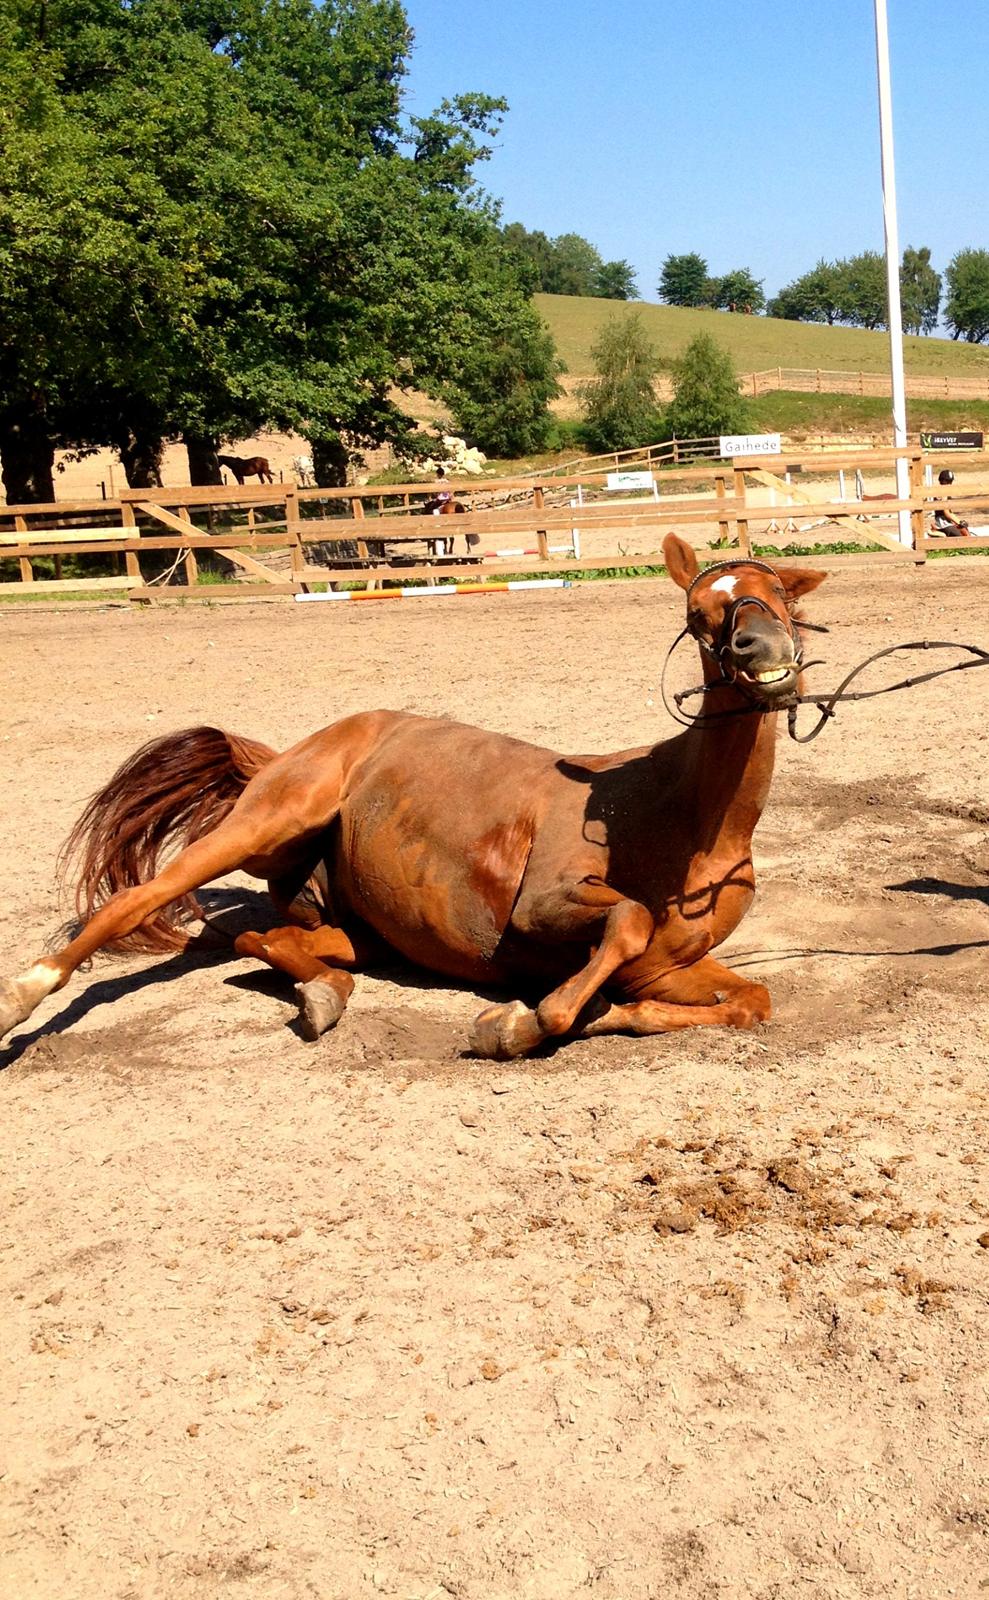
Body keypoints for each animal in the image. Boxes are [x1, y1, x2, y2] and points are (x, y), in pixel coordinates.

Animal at [1, 537, 825, 1062]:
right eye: (697, 611)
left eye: (779, 596)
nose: (762, 651)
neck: (686, 820)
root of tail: (293, 749)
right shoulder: (546, 906)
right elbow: (622, 924)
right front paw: (523, 1025)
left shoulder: (665, 969)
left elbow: (750, 1000)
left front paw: (567, 1018)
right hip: (268, 822)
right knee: (137, 901)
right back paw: (22, 995)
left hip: (353, 928)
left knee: (256, 942)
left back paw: (323, 995)